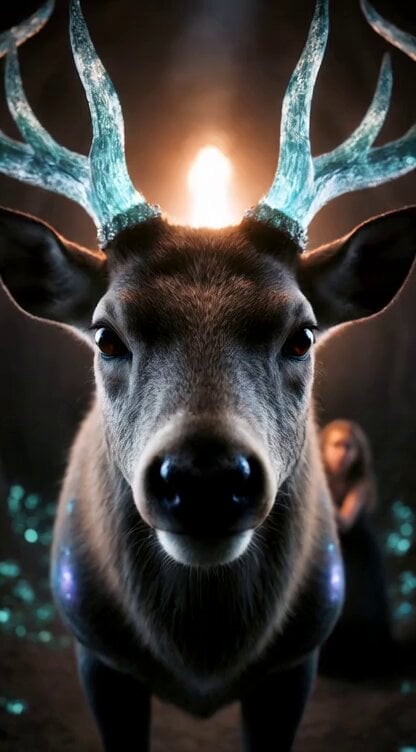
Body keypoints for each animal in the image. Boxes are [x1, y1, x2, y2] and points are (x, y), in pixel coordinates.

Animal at [0, 0, 415, 750]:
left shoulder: (298, 660)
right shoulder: (94, 650)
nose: (204, 477)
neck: (202, 656)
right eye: (106, 335)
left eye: (303, 333)